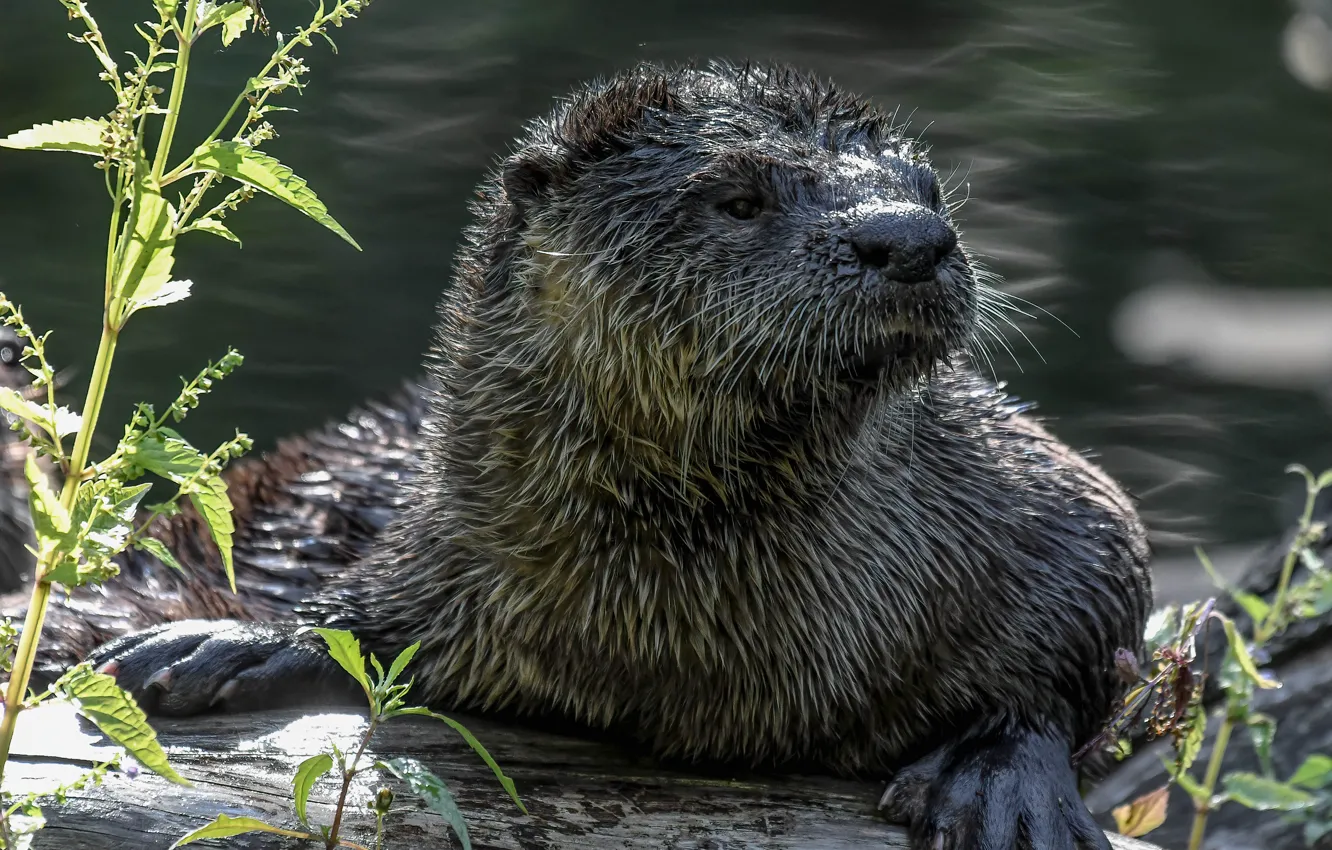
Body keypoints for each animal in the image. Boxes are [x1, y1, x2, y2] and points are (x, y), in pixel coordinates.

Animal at [28, 62, 1152, 850]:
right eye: (739, 198)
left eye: (927, 186)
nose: (911, 237)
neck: (689, 640)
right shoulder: (455, 537)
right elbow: (375, 609)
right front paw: (238, 642)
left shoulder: (1021, 492)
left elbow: (1104, 568)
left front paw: (1000, 765)